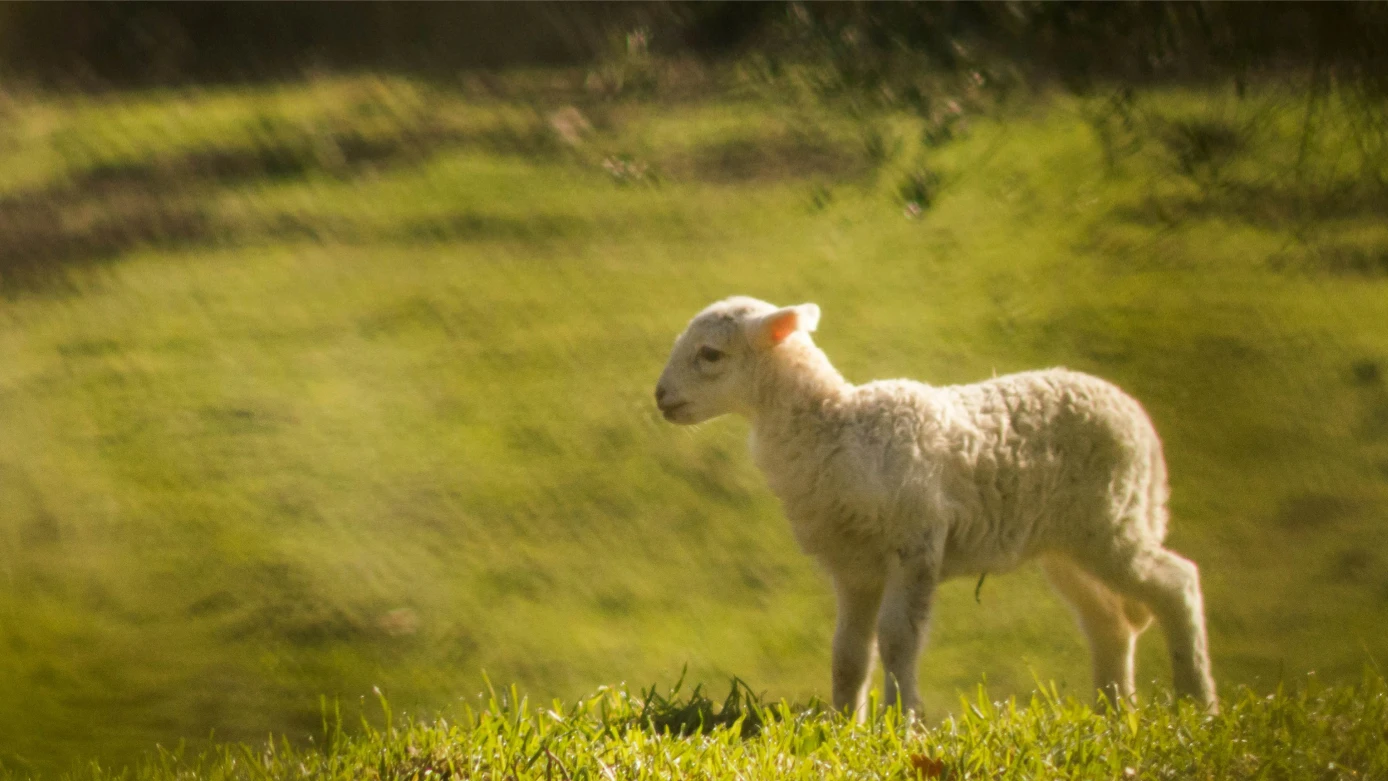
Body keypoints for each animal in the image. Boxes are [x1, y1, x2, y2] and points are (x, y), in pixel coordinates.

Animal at [654, 296, 1217, 717]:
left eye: (710, 354)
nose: (660, 398)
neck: (834, 426)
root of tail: (1138, 419)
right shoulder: (854, 565)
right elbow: (848, 653)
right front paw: (844, 724)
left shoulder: (916, 541)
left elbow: (897, 639)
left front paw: (899, 725)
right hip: (1068, 543)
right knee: (1109, 623)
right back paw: (1111, 714)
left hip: (1111, 519)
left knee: (1178, 582)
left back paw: (1196, 703)